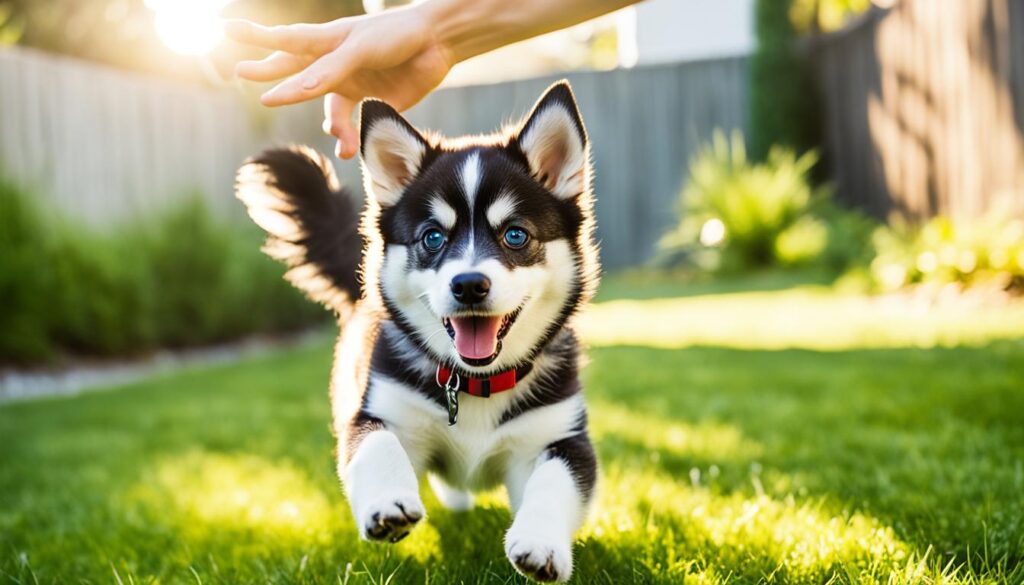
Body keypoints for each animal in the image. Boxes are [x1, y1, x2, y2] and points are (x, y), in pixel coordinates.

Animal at [234, 81, 598, 581]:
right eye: (432, 237)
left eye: (515, 235)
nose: (469, 284)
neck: (476, 384)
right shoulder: (378, 409)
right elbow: (377, 443)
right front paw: (387, 503)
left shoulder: (560, 435)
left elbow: (557, 479)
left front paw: (541, 543)